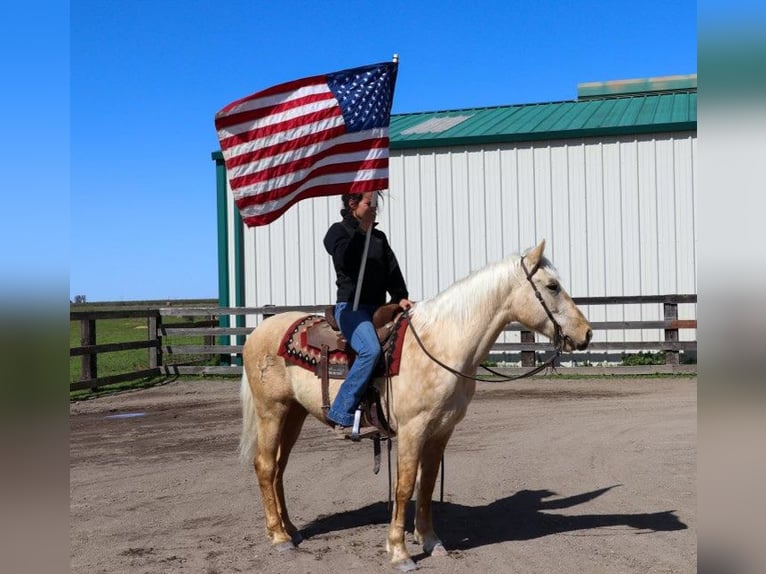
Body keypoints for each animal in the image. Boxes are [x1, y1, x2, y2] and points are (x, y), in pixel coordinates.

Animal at [240, 241, 592, 572]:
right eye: (552, 286)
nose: (586, 333)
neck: (441, 344)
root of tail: (259, 331)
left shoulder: (441, 431)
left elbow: (426, 485)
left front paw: (431, 540)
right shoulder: (412, 429)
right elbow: (405, 485)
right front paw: (399, 552)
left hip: (294, 413)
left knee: (279, 468)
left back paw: (291, 529)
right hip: (272, 411)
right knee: (265, 465)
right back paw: (279, 537)